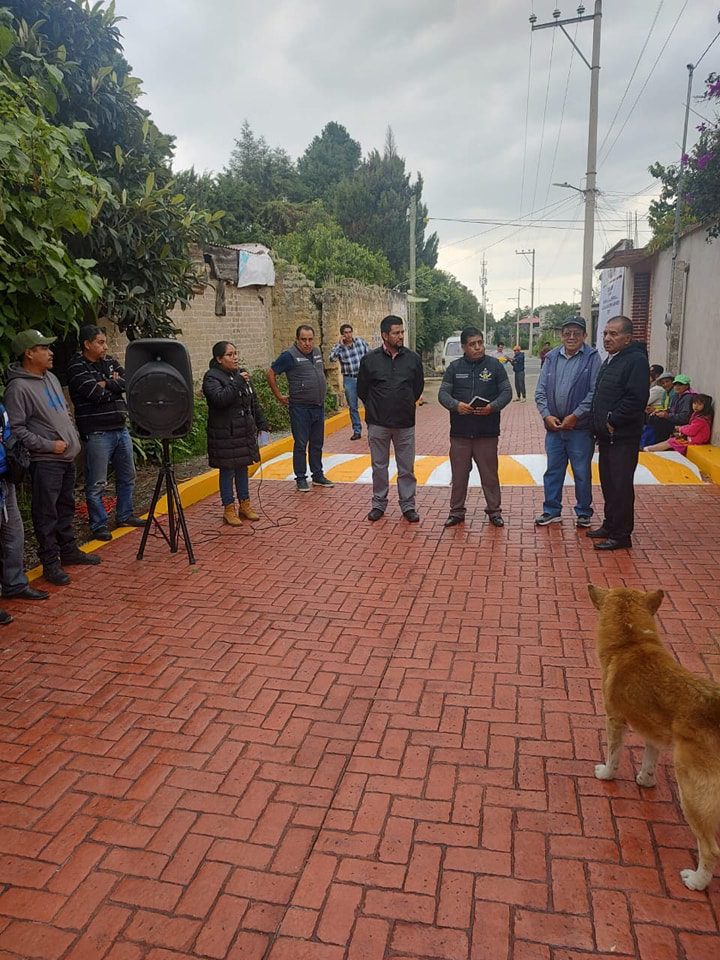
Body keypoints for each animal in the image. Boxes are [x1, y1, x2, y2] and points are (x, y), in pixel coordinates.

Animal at [588, 584, 716, 892]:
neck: (631, 643)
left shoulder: (614, 719)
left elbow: (613, 755)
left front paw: (606, 774)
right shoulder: (653, 731)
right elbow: (649, 759)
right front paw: (645, 781)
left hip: (692, 793)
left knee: (710, 850)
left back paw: (696, 881)